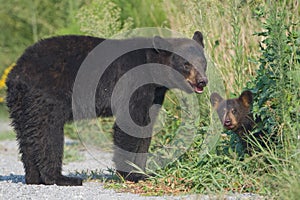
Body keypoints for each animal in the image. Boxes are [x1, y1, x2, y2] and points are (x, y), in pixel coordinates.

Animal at [5, 30, 207, 186]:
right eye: (186, 64)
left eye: (203, 62)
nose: (202, 81)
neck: (152, 70)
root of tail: (16, 73)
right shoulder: (132, 84)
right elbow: (128, 124)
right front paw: (129, 174)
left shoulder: (154, 95)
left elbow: (145, 129)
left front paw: (142, 172)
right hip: (47, 97)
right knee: (48, 134)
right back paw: (60, 178)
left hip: (21, 104)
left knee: (27, 136)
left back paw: (33, 177)